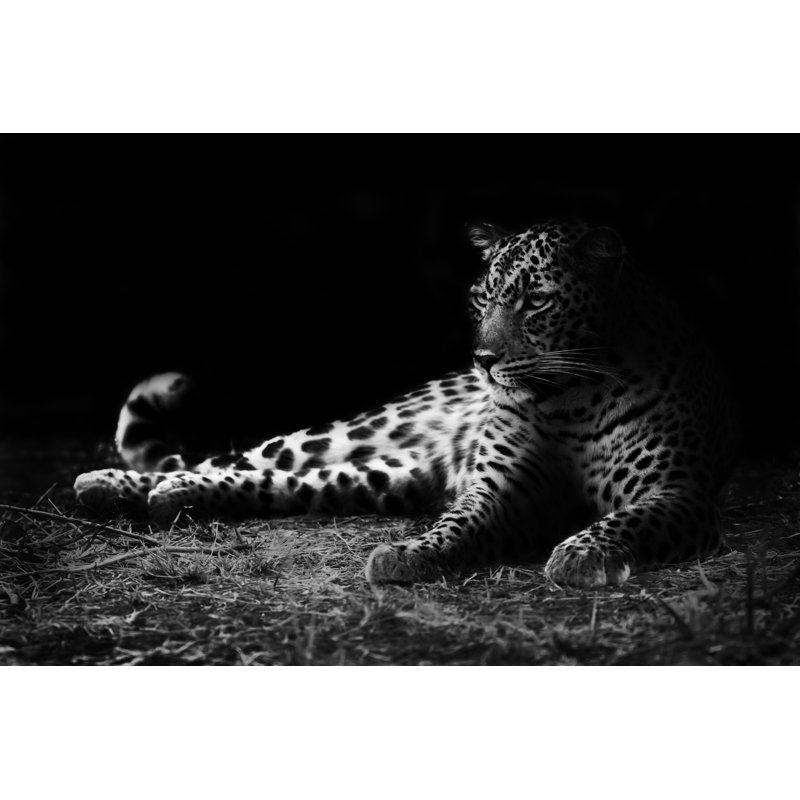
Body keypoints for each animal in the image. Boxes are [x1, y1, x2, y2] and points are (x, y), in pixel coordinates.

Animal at [74, 219, 738, 587]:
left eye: (537, 301)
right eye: (483, 296)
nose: (484, 360)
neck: (571, 399)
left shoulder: (680, 491)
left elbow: (626, 520)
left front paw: (580, 554)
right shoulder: (500, 487)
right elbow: (460, 522)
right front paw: (410, 554)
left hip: (383, 477)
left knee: (268, 483)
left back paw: (170, 498)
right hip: (350, 434)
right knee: (230, 459)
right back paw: (110, 484)